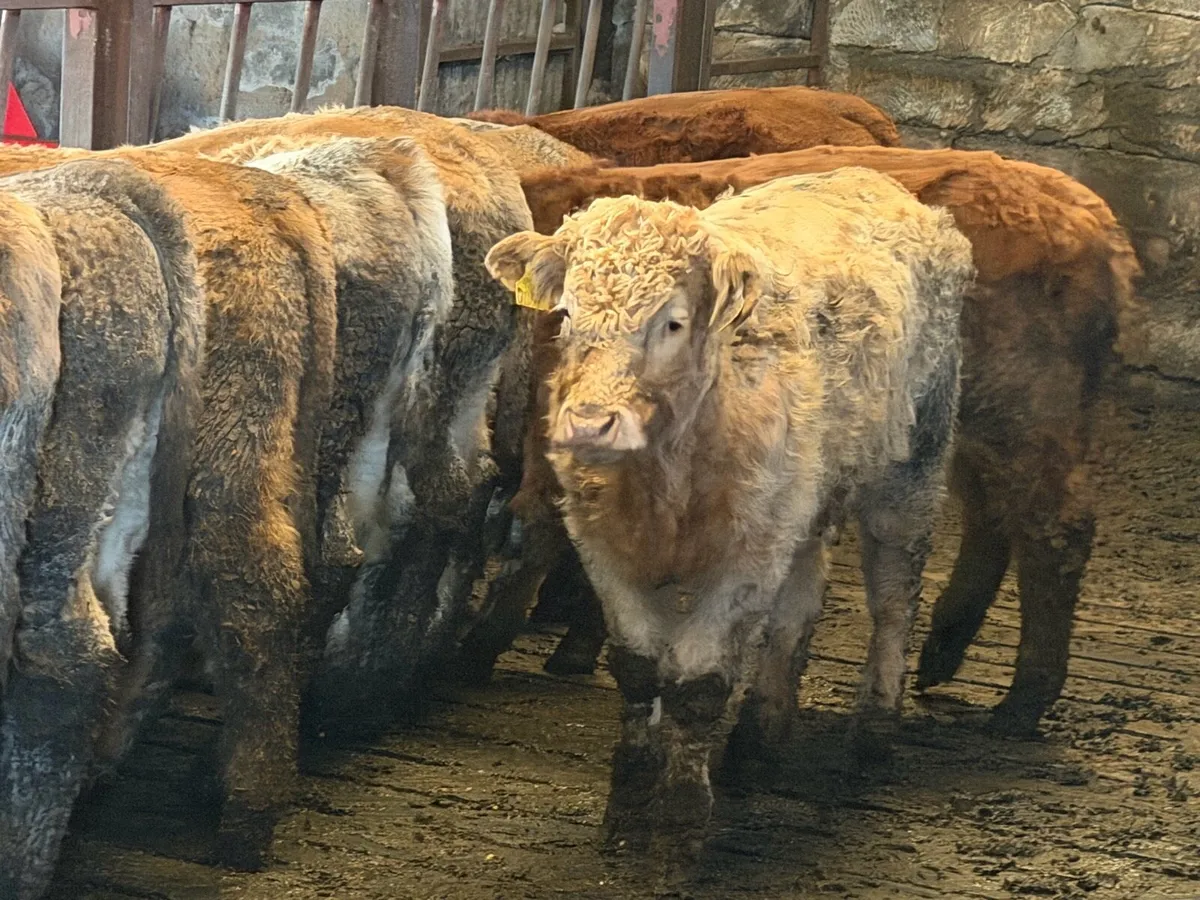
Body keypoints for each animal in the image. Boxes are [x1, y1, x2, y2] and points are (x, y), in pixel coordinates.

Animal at [473, 146, 1144, 737]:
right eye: (569, 313)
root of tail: (1090, 214)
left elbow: (534, 528)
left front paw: (473, 649)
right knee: (992, 517)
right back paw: (944, 650)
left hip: (1022, 419)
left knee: (1053, 529)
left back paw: (1023, 699)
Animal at [485, 170, 975, 875]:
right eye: (568, 314)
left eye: (672, 321)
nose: (589, 424)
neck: (664, 479)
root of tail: (876, 179)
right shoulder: (606, 547)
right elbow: (638, 669)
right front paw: (628, 808)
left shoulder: (742, 560)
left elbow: (698, 687)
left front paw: (679, 829)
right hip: (802, 498)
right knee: (799, 604)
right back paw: (759, 738)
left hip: (912, 467)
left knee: (893, 601)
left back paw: (874, 735)